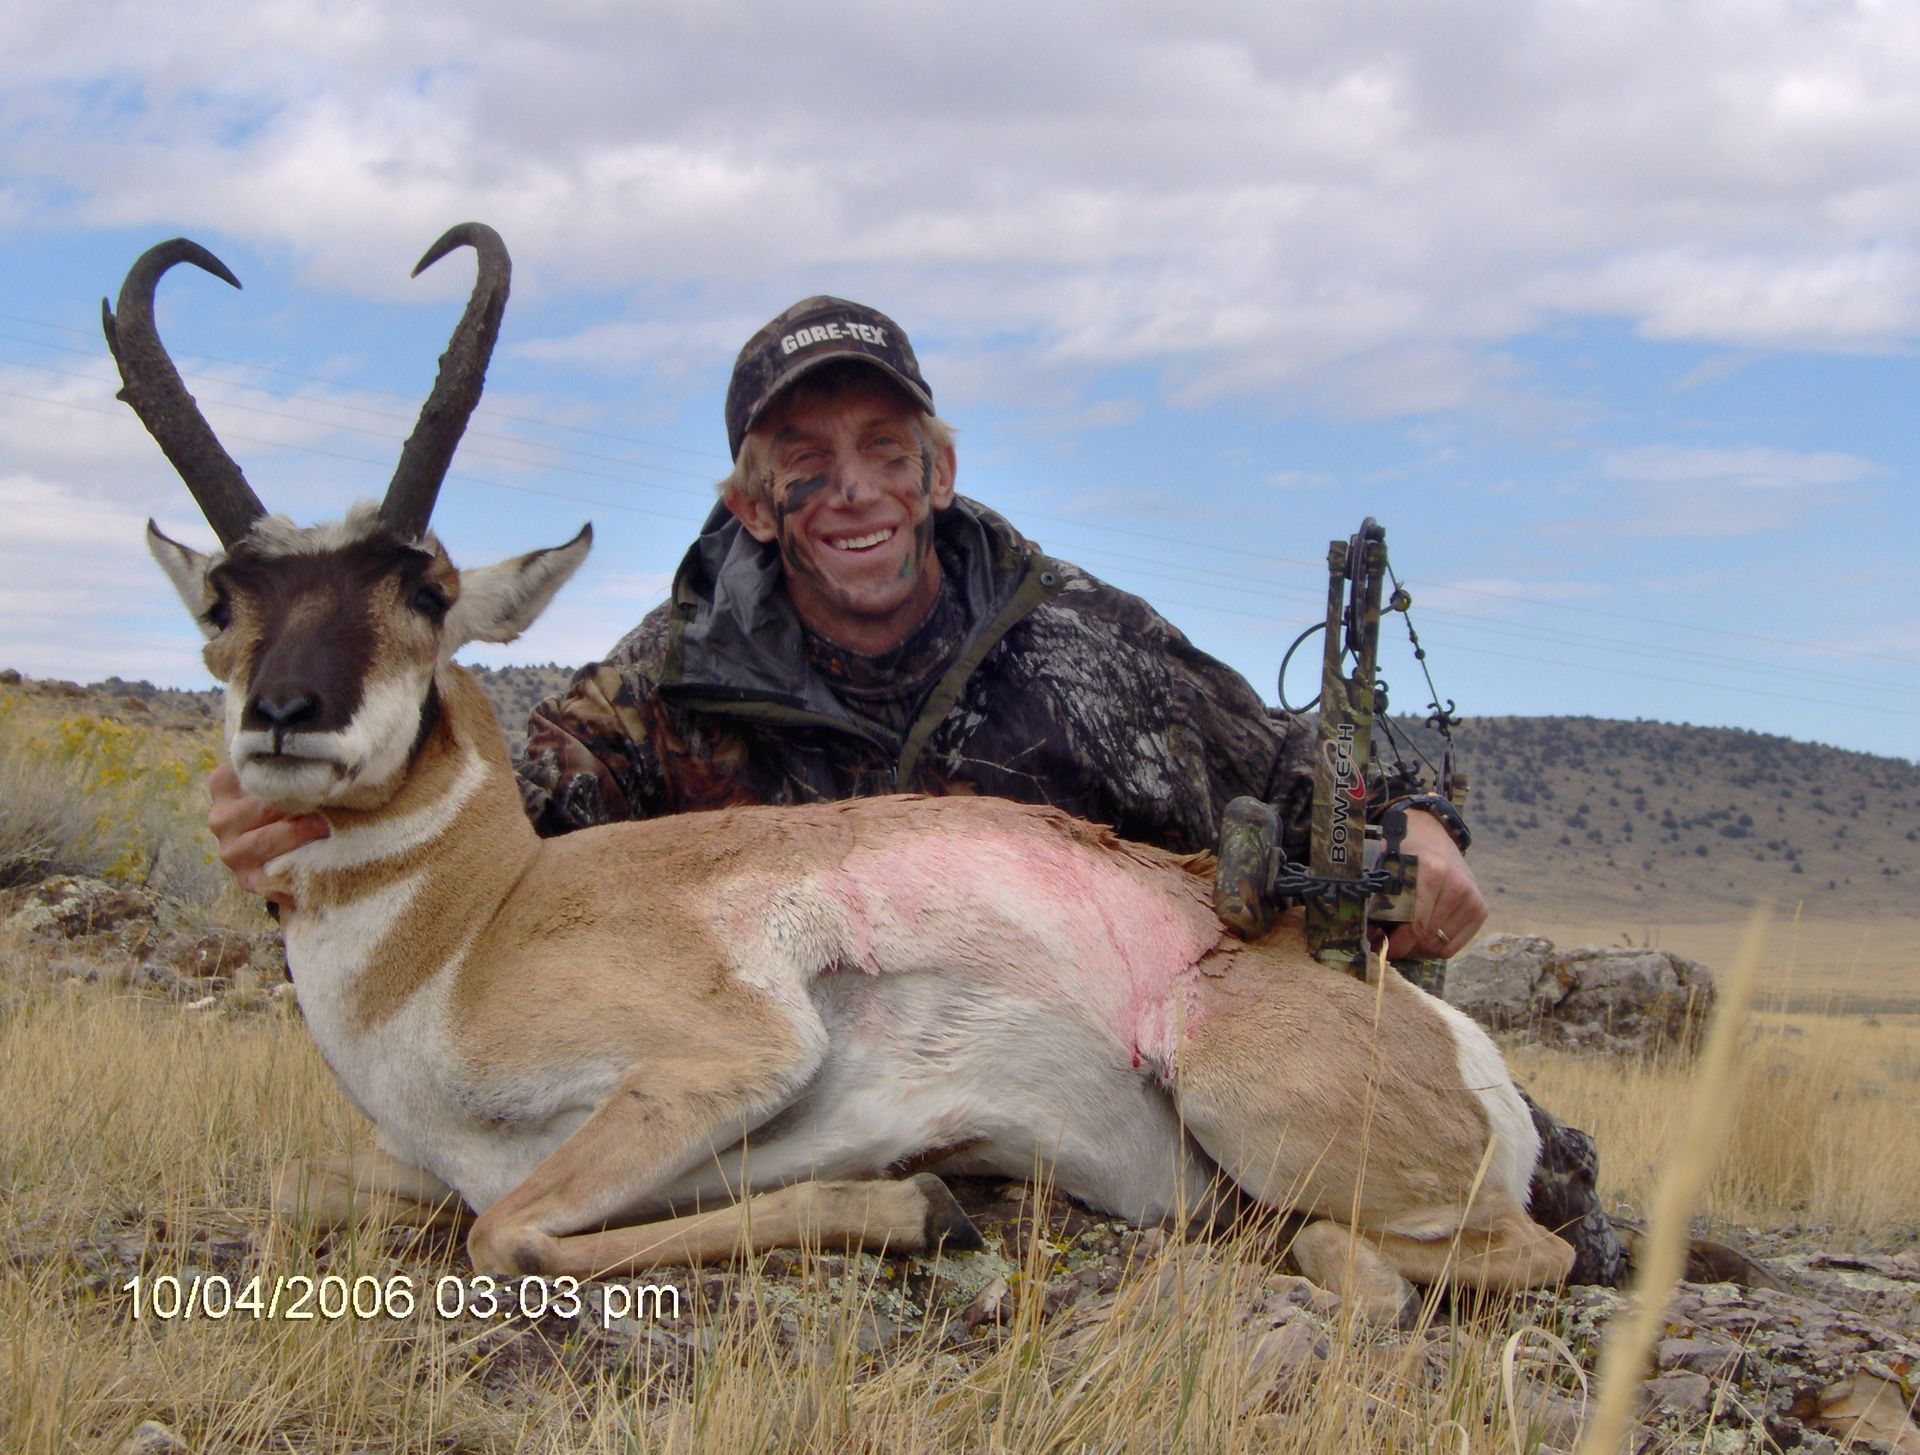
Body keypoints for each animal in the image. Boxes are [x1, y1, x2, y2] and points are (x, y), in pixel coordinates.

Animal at [113, 224, 1574, 1318]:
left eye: (424, 586)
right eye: (224, 601)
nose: (288, 716)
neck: (476, 924)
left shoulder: (731, 1060)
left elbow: (509, 1227)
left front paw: (912, 1200)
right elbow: (322, 1184)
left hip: (1235, 1085)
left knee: (1496, 1253)